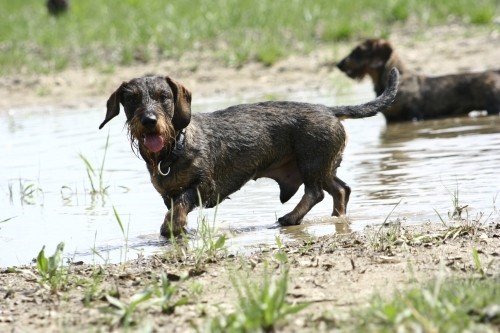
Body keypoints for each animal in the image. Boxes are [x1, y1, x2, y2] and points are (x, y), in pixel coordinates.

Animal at [100, 68, 398, 236]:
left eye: (164, 97)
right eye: (132, 99)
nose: (149, 121)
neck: (174, 148)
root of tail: (329, 109)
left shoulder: (204, 187)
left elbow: (182, 205)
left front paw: (174, 228)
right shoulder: (167, 195)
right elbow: (173, 210)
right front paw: (174, 230)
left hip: (312, 162)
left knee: (317, 192)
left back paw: (291, 217)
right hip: (322, 165)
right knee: (341, 189)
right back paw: (334, 218)